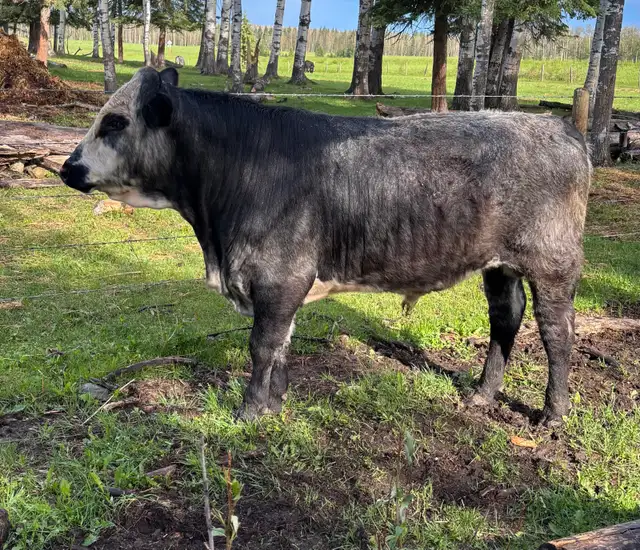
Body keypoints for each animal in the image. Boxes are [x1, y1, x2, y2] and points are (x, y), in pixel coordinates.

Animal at [60, 67, 591, 425]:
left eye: (114, 122)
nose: (68, 167)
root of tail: (561, 128)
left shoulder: (280, 275)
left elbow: (262, 343)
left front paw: (249, 411)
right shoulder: (284, 284)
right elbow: (281, 344)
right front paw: (275, 403)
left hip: (553, 264)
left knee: (557, 333)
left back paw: (554, 414)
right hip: (500, 266)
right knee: (506, 319)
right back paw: (483, 394)